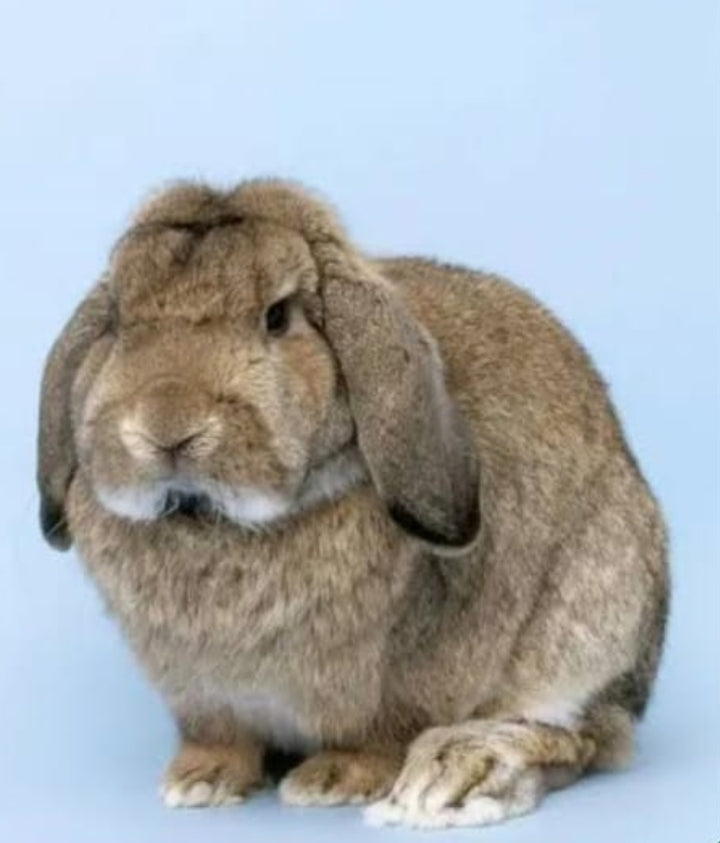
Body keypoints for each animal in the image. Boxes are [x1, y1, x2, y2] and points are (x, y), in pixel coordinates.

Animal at [37, 179, 668, 829]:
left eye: (278, 317)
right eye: (116, 321)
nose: (167, 428)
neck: (211, 520)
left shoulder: (400, 683)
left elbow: (379, 735)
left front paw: (334, 781)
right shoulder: (203, 695)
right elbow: (220, 737)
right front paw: (201, 781)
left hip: (594, 620)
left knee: (578, 738)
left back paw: (453, 777)